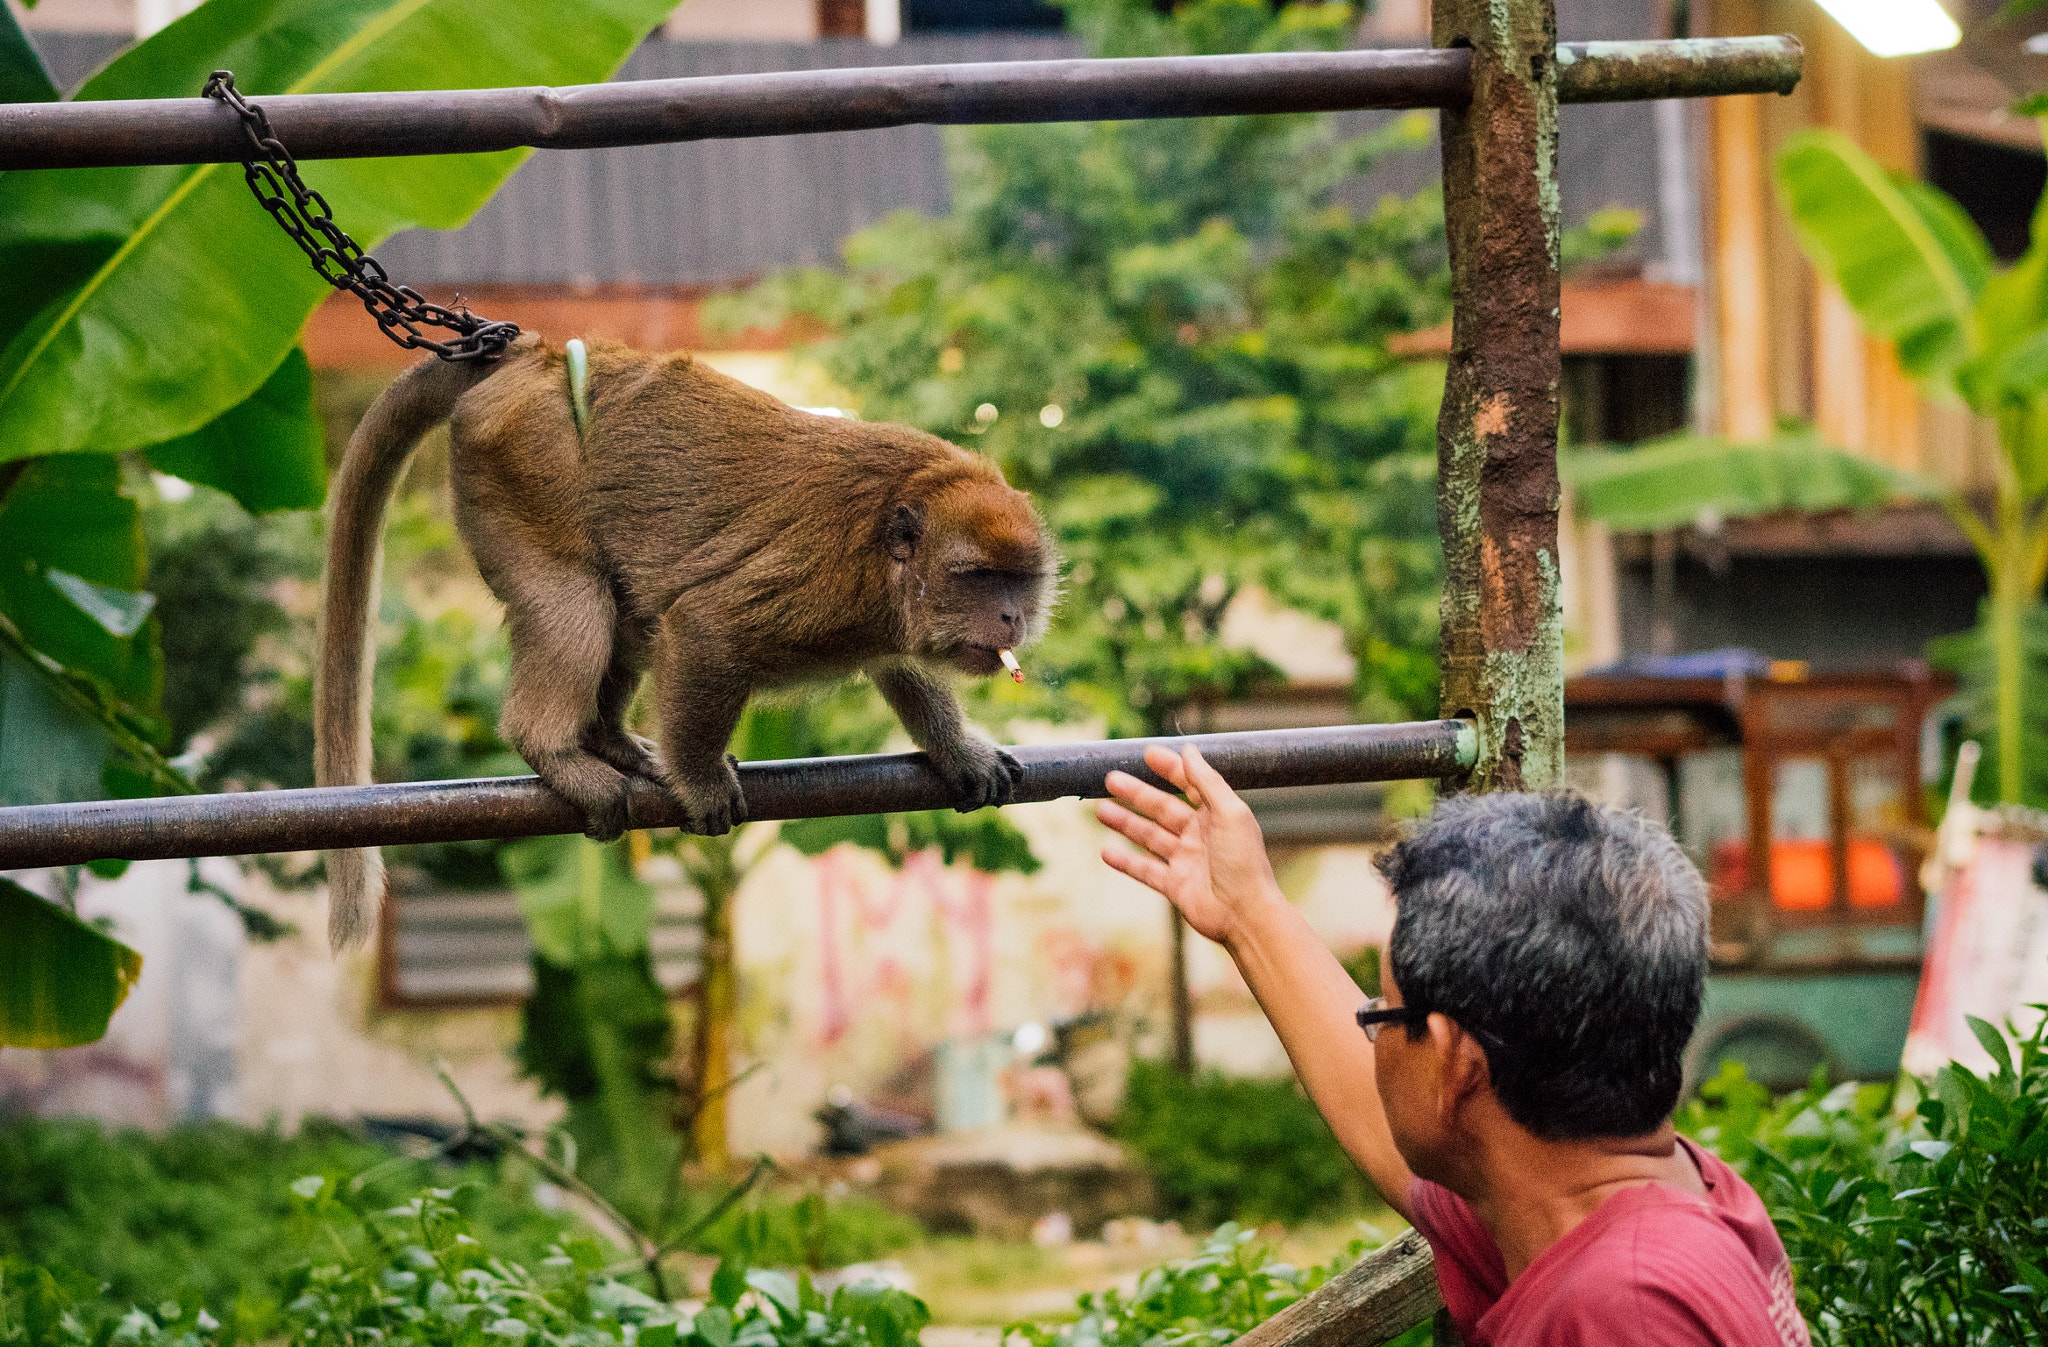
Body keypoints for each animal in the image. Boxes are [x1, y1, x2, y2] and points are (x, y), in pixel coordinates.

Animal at [321, 335, 1064, 945]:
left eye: (1019, 581)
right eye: (977, 577)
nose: (1011, 619)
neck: (890, 551)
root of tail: (533, 356)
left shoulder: (881, 617)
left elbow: (903, 670)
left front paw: (957, 750)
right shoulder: (823, 582)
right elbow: (705, 625)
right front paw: (701, 780)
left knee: (629, 613)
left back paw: (612, 741)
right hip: (520, 462)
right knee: (576, 602)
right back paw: (556, 750)